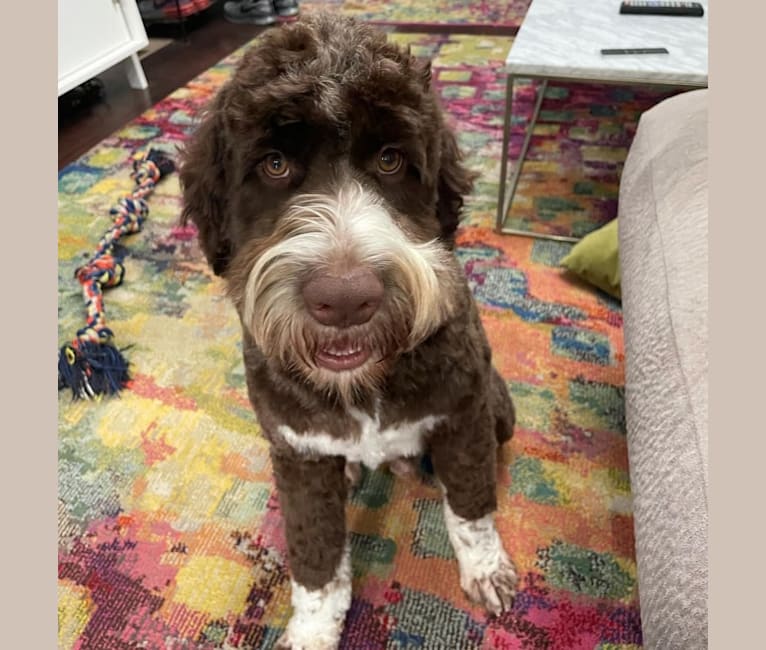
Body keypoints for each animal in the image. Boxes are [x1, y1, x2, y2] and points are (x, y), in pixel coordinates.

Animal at [178, 12, 520, 644]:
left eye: (390, 160)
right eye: (274, 164)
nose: (343, 300)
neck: (365, 381)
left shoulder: (464, 416)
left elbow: (470, 504)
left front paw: (485, 568)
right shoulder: (298, 451)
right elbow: (314, 554)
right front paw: (314, 629)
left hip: (498, 405)